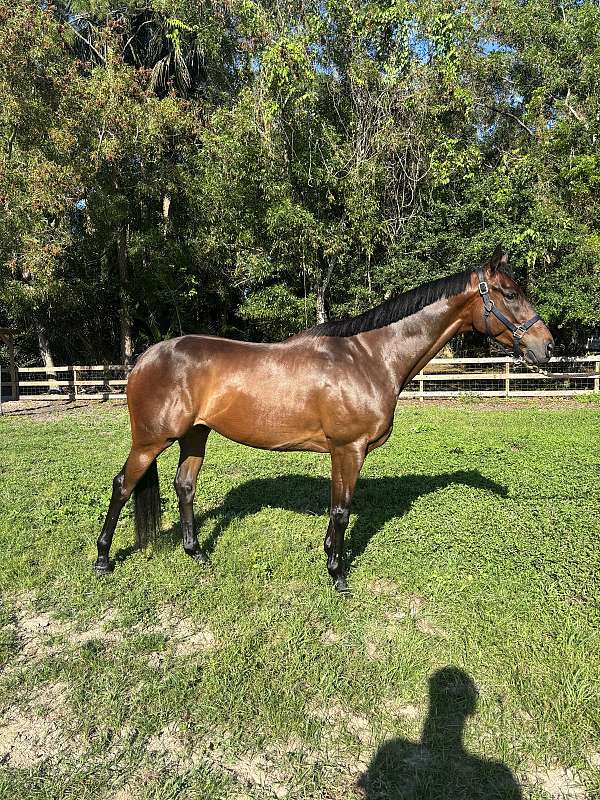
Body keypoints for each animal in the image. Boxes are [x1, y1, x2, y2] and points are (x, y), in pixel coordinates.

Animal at [94, 247, 554, 591]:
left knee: (185, 486)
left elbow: (337, 507)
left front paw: (330, 557)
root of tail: (144, 359)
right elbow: (342, 509)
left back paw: (197, 552)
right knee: (122, 486)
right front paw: (337, 574)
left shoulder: (342, 451)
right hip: (151, 441)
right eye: (509, 294)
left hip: (195, 435)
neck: (370, 357)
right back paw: (102, 559)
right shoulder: (348, 449)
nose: (547, 346)